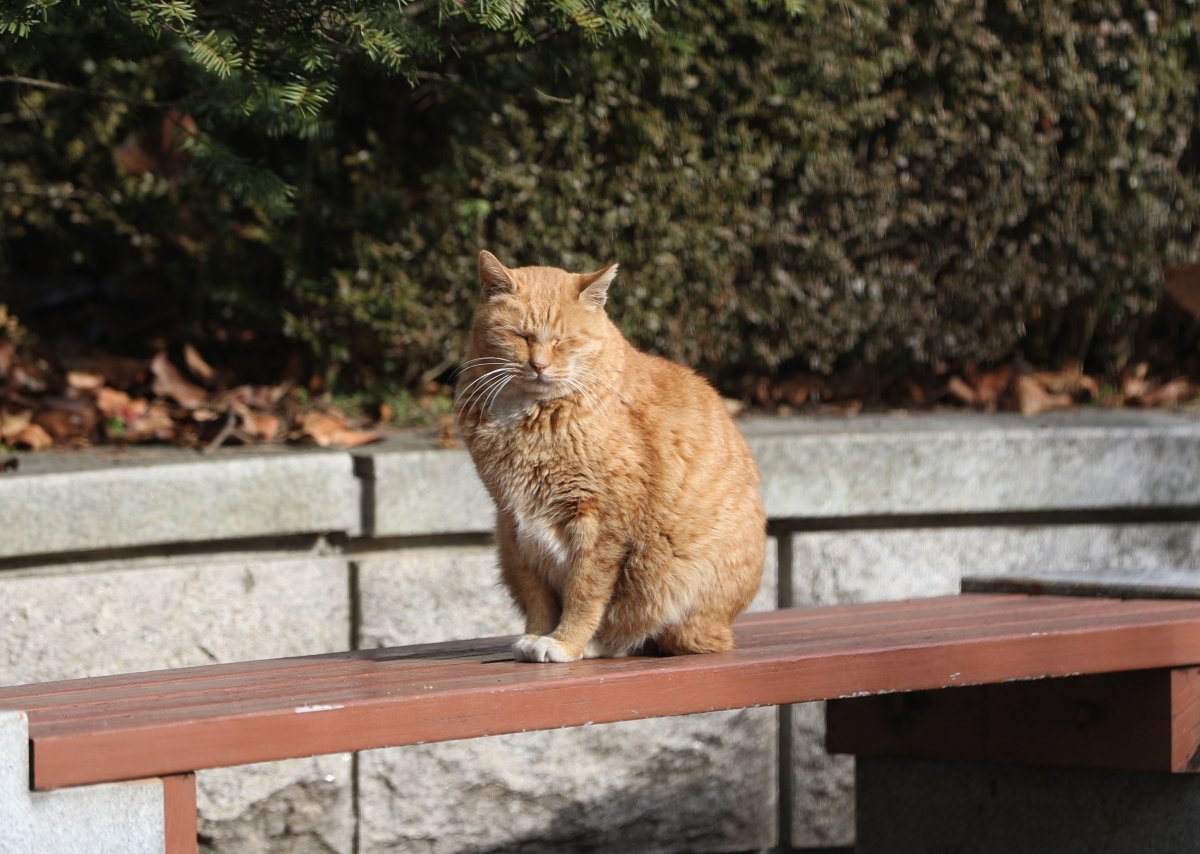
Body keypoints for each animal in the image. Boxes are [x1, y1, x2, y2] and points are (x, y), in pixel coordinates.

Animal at [453, 250, 763, 662]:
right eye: (519, 336)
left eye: (565, 341)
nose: (538, 365)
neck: (533, 417)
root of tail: (727, 625)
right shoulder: (515, 525)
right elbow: (538, 597)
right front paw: (537, 635)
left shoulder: (601, 524)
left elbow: (585, 593)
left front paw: (565, 642)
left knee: (645, 633)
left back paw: (597, 643)